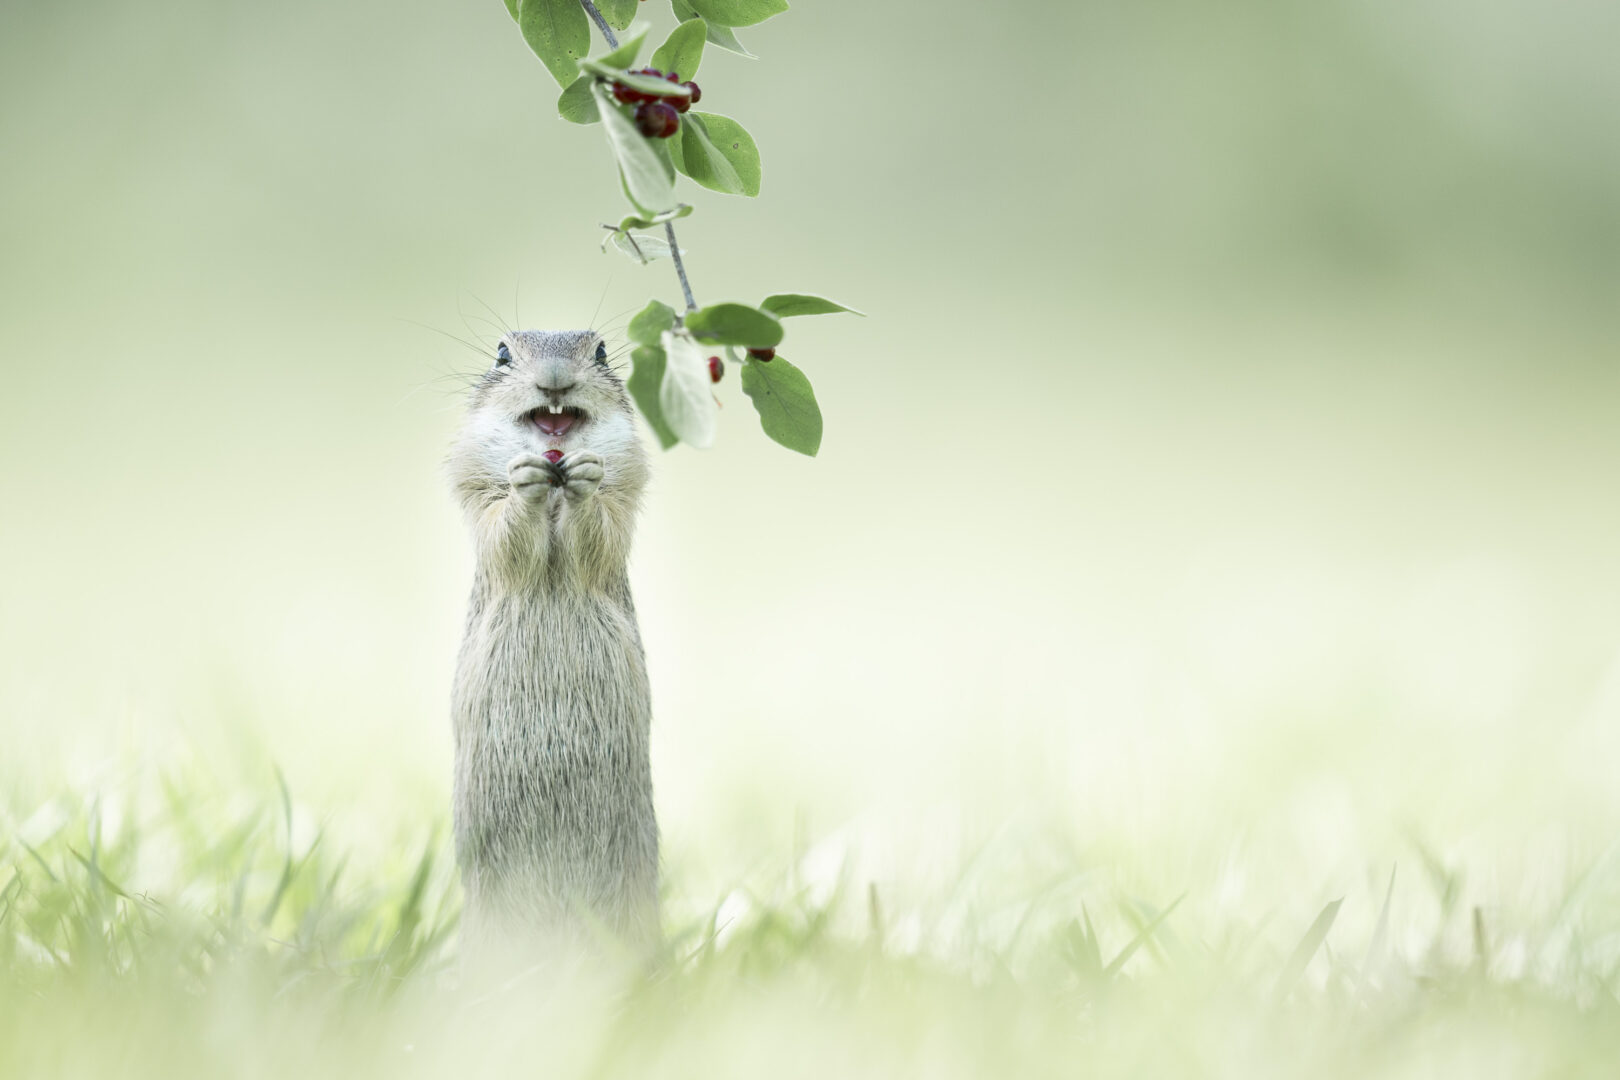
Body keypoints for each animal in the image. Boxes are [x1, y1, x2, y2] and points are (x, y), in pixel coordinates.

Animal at [446, 329, 657, 961]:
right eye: (502, 354)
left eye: (602, 352)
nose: (555, 379)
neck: (556, 495)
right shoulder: (479, 499)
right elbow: (505, 533)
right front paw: (525, 483)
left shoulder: (623, 497)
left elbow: (600, 532)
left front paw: (585, 476)